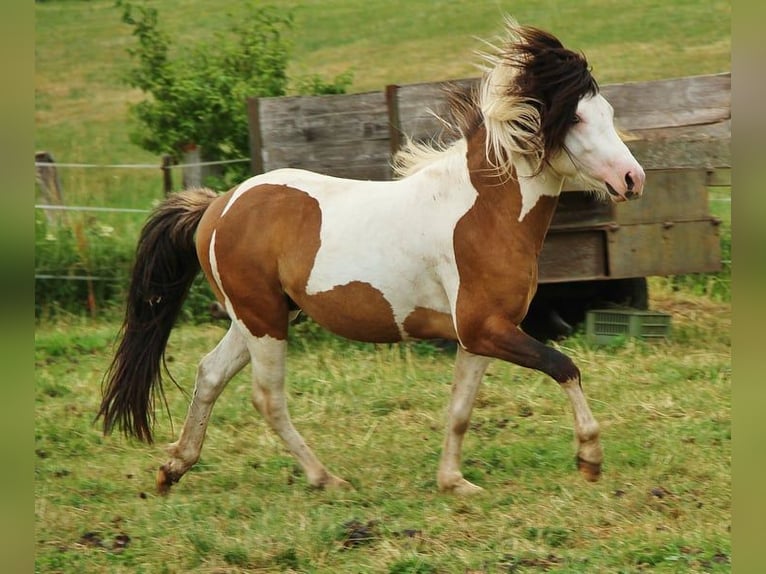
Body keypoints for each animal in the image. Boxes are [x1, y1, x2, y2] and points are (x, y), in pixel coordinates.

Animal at [98, 19, 645, 495]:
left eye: (610, 115)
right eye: (576, 118)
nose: (633, 179)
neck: (485, 213)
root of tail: (217, 206)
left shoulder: (480, 335)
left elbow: (460, 410)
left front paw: (454, 483)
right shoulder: (487, 329)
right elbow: (564, 367)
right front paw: (590, 459)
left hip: (257, 317)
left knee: (210, 374)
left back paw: (173, 467)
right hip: (263, 320)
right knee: (267, 397)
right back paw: (325, 479)